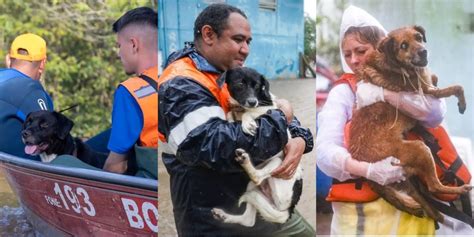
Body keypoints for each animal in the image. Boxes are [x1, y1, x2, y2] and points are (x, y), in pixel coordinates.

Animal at [350, 25, 468, 222]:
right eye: (403, 45)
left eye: (419, 37)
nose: (423, 52)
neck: (394, 64)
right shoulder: (427, 93)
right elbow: (457, 87)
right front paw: (462, 103)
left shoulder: (428, 85)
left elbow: (435, 76)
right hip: (419, 149)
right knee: (433, 186)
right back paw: (461, 189)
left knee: (421, 196)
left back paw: (435, 214)